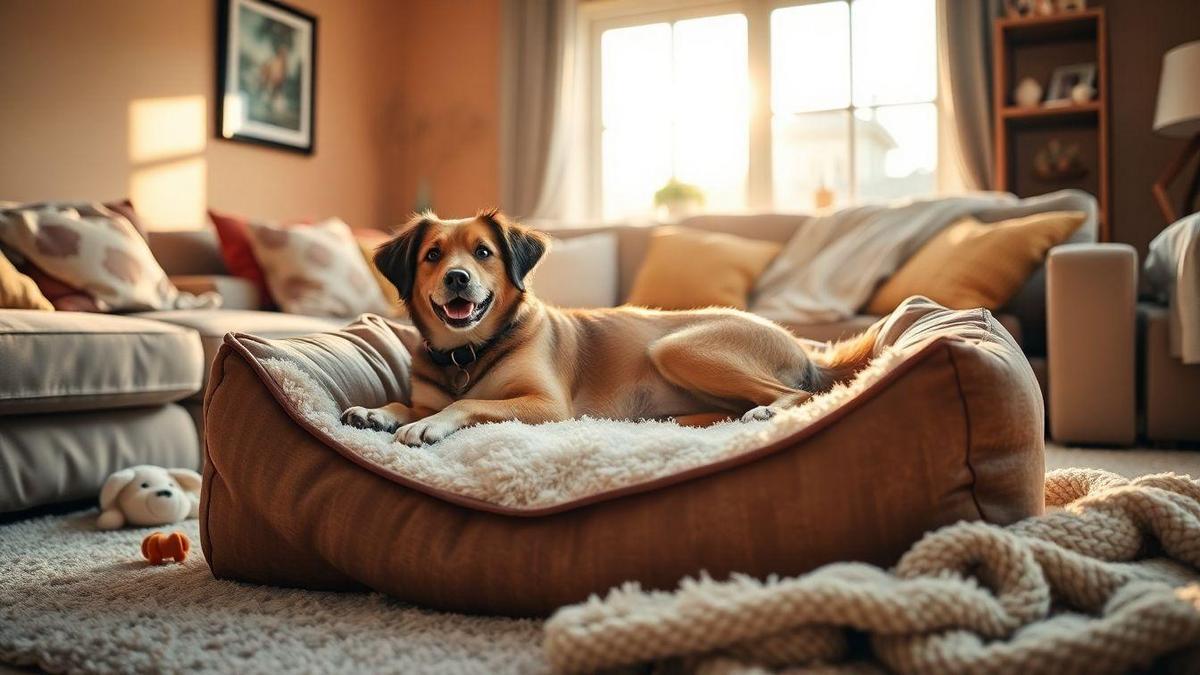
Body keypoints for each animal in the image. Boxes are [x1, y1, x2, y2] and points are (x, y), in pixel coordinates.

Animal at [343, 207, 878, 444]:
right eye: (432, 255)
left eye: (483, 252)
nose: (457, 278)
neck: (468, 351)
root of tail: (806, 349)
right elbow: (405, 402)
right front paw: (378, 413)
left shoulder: (547, 406)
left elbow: (470, 402)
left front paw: (428, 425)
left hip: (678, 347)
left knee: (800, 394)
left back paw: (766, 411)